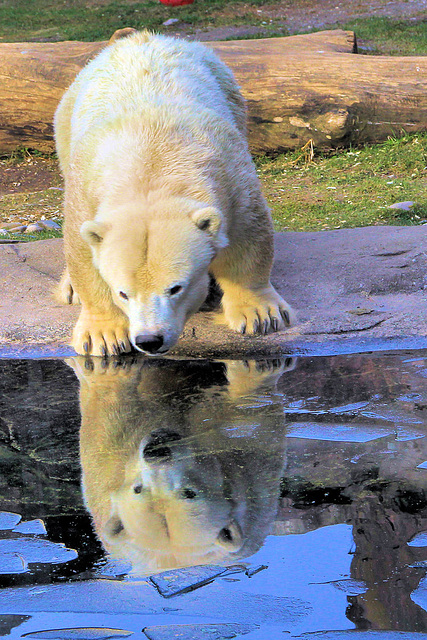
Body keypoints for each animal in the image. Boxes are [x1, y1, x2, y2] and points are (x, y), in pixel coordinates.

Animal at [55, 30, 292, 358]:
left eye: (176, 288)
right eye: (123, 293)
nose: (149, 340)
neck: (152, 156)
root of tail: (142, 37)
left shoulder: (229, 173)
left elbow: (249, 236)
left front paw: (260, 313)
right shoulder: (85, 185)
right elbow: (81, 248)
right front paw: (103, 335)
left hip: (231, 92)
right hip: (66, 120)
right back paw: (69, 289)